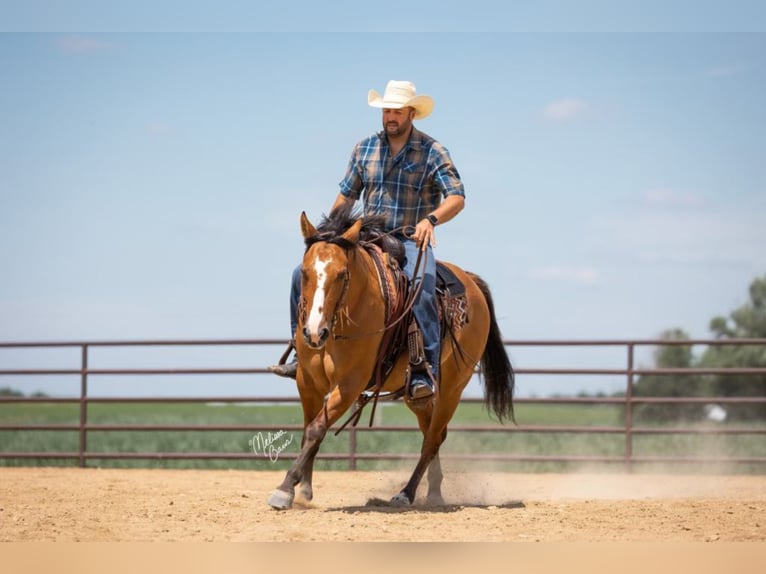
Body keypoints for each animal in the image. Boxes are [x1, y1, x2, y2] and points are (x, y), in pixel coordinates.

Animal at [270, 209, 516, 510]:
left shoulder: (349, 385)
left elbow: (317, 428)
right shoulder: (307, 382)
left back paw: (406, 493)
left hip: (452, 389)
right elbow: (308, 430)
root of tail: (470, 281)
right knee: (431, 432)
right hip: (418, 397)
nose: (314, 332)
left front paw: (285, 489)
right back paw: (434, 491)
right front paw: (304, 489)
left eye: (342, 274)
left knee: (433, 438)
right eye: (305, 273)